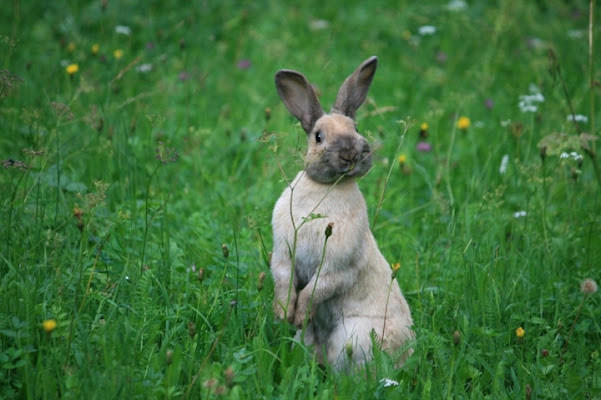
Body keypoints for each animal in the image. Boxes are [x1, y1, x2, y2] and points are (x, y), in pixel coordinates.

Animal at [270, 54, 412, 370]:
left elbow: (315, 290)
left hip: (354, 337)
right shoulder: (284, 254)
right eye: (318, 137)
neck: (328, 186)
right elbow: (284, 281)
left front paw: (298, 315)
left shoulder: (337, 268)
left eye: (356, 128)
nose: (349, 153)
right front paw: (284, 314)